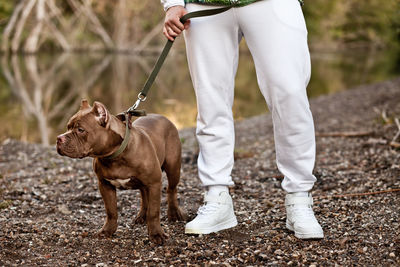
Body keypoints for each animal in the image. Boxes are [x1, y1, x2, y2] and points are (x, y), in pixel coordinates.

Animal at [55, 100, 186, 245]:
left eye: (80, 130)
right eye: (68, 127)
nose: (59, 138)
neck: (114, 156)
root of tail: (163, 117)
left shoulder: (154, 183)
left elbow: (154, 212)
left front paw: (156, 234)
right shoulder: (105, 185)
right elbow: (111, 211)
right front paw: (108, 231)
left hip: (173, 168)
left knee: (171, 190)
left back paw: (174, 213)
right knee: (144, 195)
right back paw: (142, 216)